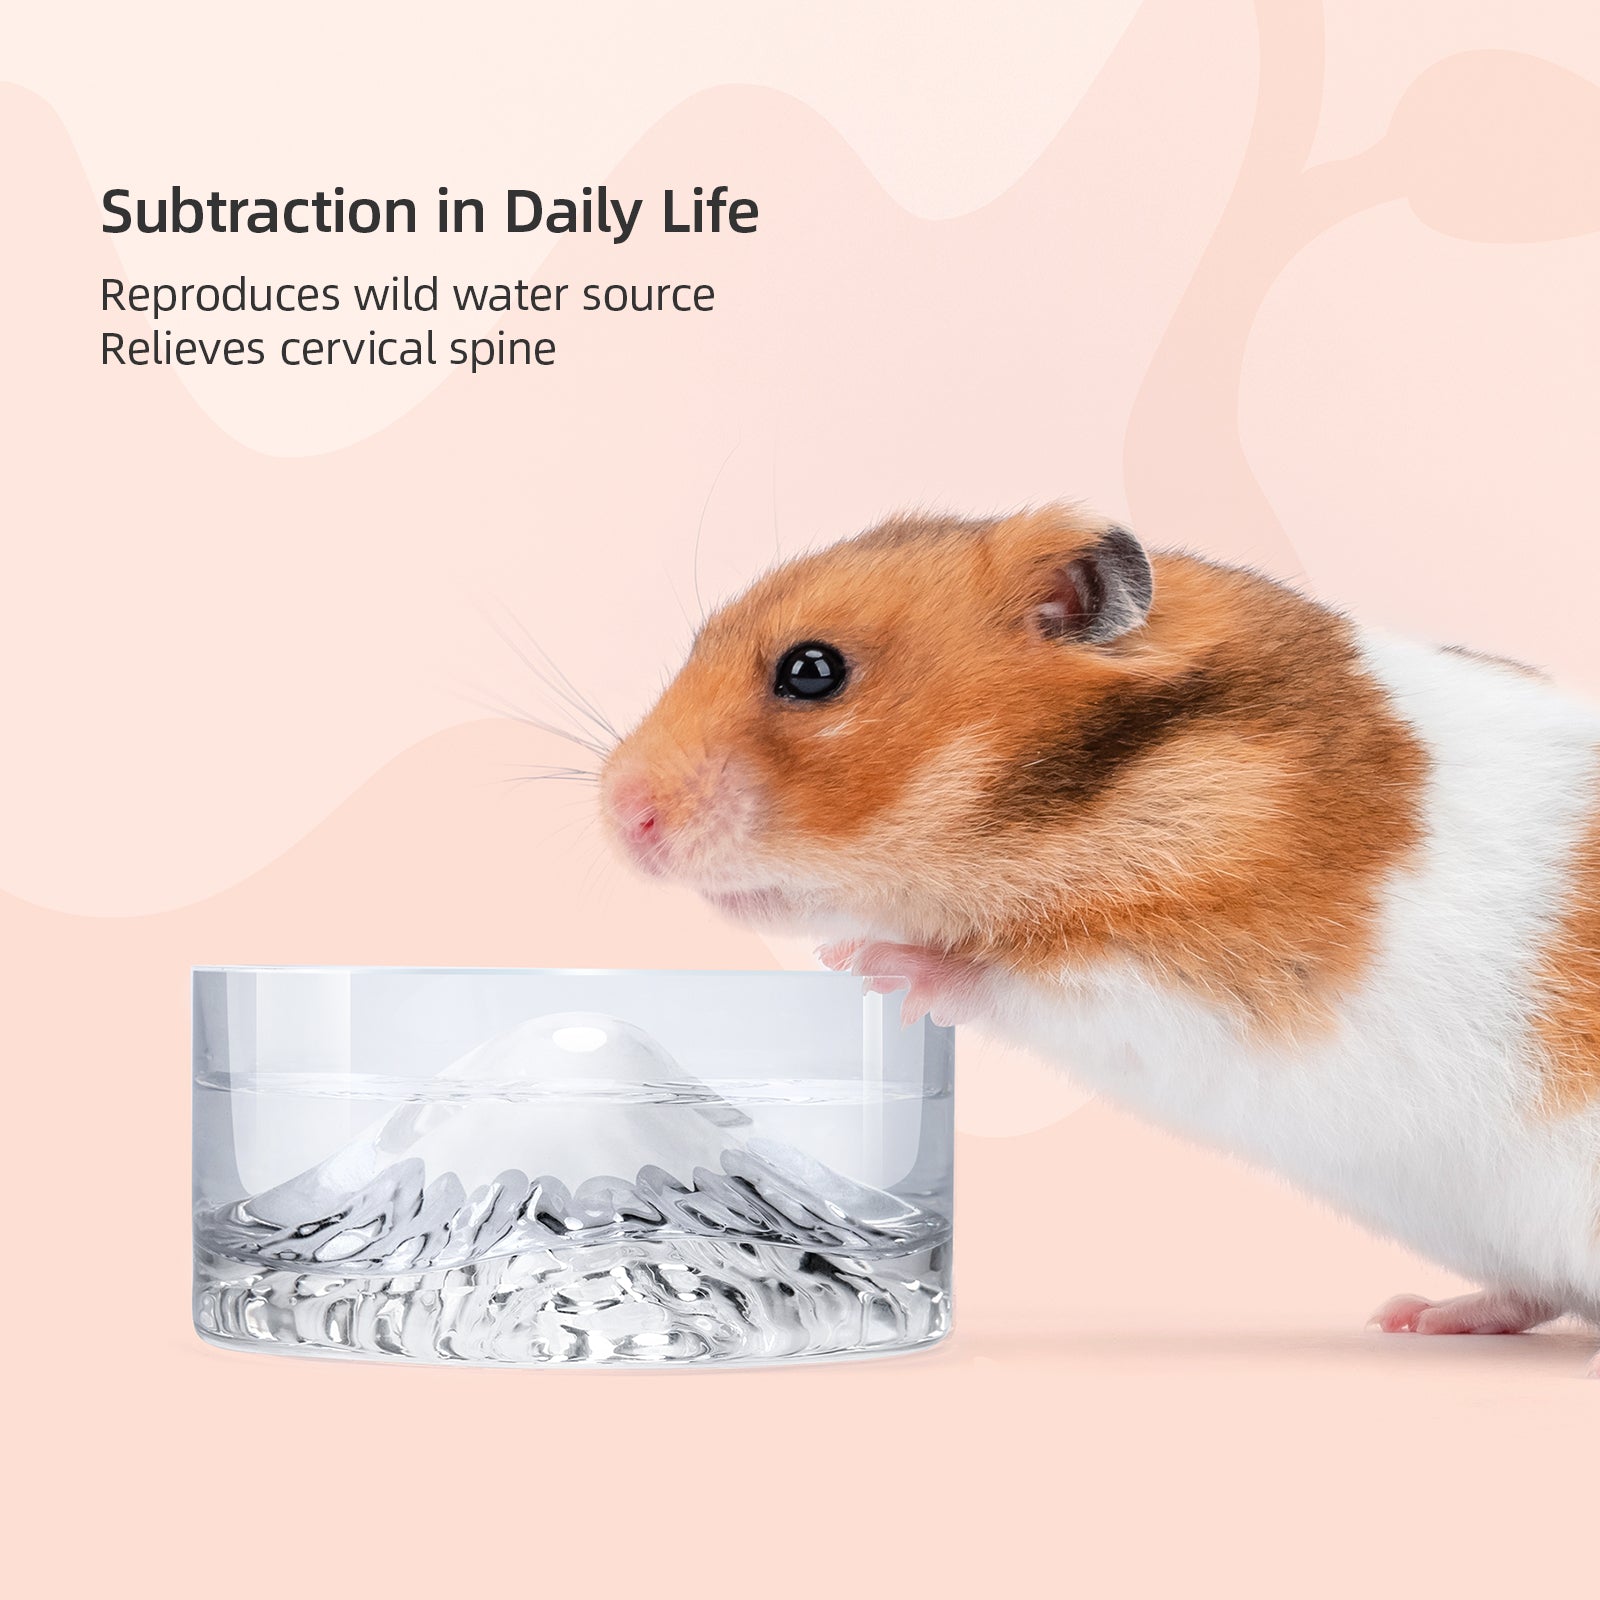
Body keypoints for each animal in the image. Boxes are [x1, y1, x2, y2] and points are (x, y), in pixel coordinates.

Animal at [598, 504, 1600, 1376]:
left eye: (812, 670)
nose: (618, 817)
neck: (1097, 800)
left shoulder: (1199, 977)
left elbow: (1014, 978)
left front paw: (868, 965)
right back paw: (1419, 1315)